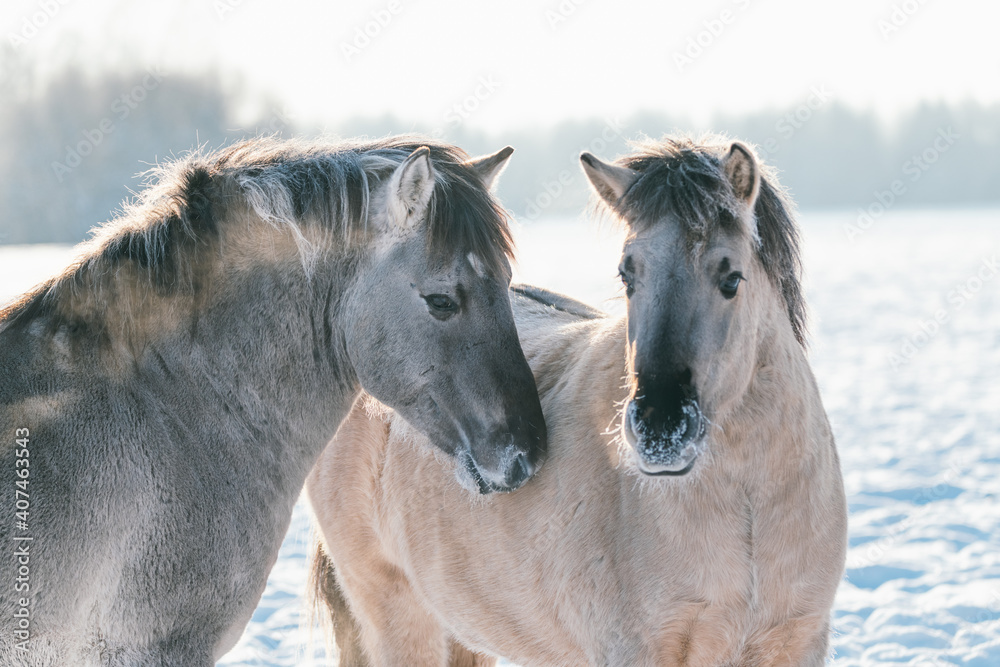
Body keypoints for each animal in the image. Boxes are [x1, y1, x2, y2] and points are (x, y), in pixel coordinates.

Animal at [306, 136, 848, 666]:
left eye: (731, 278)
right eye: (628, 275)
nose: (660, 430)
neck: (749, 507)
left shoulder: (797, 641)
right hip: (397, 612)